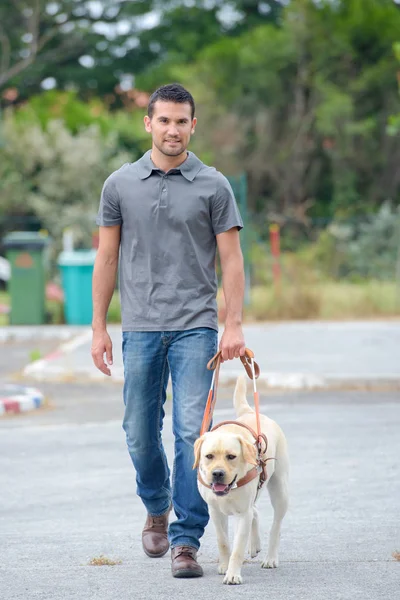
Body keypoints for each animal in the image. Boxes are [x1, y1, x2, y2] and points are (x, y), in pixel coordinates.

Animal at [193, 376, 288, 584]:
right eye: (209, 456)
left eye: (231, 456)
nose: (217, 473)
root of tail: (250, 412)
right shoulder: (215, 511)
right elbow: (223, 541)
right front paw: (224, 565)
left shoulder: (242, 514)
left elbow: (237, 548)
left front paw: (233, 574)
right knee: (256, 511)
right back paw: (254, 545)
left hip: (280, 491)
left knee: (276, 525)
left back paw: (271, 557)